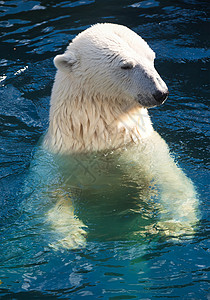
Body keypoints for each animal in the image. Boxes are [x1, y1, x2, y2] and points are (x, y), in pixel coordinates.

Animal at [36, 22, 199, 248]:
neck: (104, 138)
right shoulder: (57, 161)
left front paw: (174, 225)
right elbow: (47, 196)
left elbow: (171, 178)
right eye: (126, 66)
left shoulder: (142, 145)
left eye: (151, 57)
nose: (161, 92)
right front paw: (70, 237)